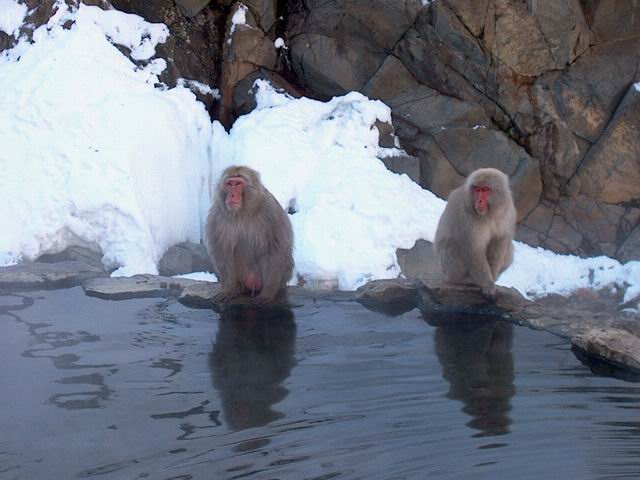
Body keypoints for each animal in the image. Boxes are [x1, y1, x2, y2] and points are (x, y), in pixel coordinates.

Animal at [205, 165, 294, 304]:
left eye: (238, 184)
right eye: (229, 184)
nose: (231, 194)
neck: (243, 213)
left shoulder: (271, 211)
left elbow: (275, 250)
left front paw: (268, 293)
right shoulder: (217, 216)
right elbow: (223, 252)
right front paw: (228, 290)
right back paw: (238, 287)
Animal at [434, 168, 517, 298]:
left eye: (485, 189)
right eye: (477, 189)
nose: (479, 200)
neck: (488, 215)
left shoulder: (508, 212)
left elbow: (499, 241)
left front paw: (492, 277)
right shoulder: (466, 217)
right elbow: (473, 249)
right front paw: (487, 283)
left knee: (509, 248)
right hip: (448, 269)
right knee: (451, 245)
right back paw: (464, 280)